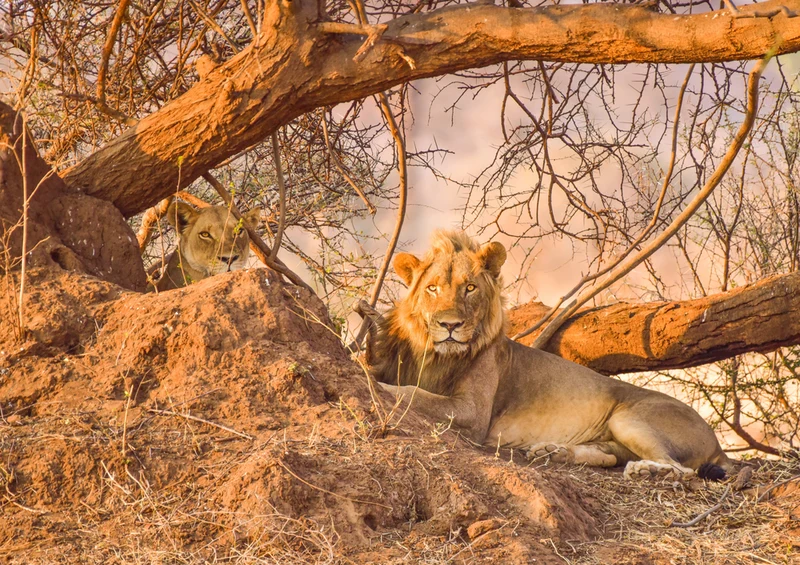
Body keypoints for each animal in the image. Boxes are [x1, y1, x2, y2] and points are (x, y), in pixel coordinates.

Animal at [363, 230, 732, 480]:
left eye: (470, 288)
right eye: (432, 288)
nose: (450, 325)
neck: (439, 356)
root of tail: (717, 442)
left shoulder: (473, 413)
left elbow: (414, 394)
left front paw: (379, 387)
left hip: (630, 418)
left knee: (680, 469)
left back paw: (647, 471)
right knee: (610, 456)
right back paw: (553, 451)